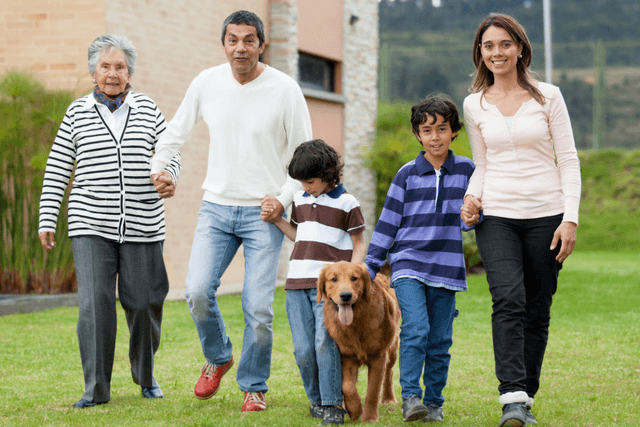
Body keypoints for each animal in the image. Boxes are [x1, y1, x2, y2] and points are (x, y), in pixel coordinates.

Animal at [316, 262, 400, 422]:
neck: (356, 323)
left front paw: (369, 418)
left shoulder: (378, 356)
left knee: (389, 372)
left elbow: (372, 391)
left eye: (354, 278)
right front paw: (355, 410)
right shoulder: (347, 356)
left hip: (392, 348)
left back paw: (388, 398)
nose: (346, 295)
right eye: (334, 279)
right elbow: (347, 386)